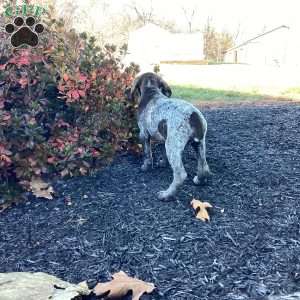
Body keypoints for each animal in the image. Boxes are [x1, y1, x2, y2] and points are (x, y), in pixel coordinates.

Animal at [126, 71, 211, 200]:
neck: (151, 91)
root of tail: (193, 115)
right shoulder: (164, 138)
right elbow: (162, 154)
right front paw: (162, 163)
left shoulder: (144, 134)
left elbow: (147, 154)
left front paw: (145, 167)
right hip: (198, 144)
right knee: (204, 167)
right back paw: (199, 180)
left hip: (173, 146)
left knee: (180, 175)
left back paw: (166, 195)